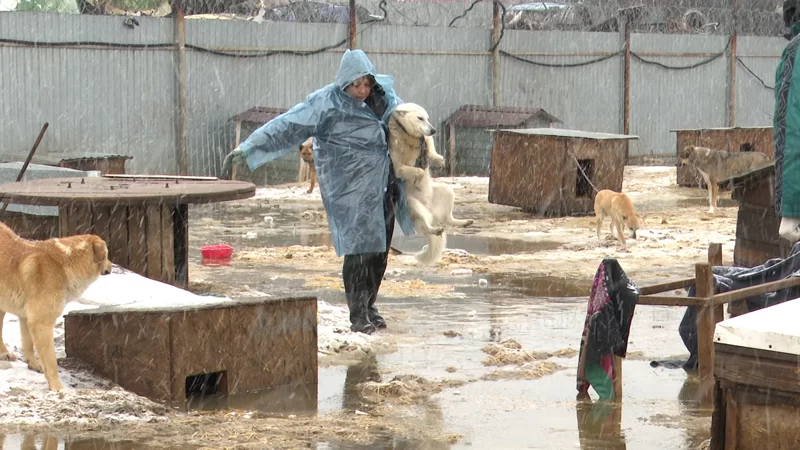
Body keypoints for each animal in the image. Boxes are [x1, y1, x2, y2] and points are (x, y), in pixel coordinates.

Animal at [0, 221, 112, 390]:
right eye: (106, 254)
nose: (111, 267)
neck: (65, 263)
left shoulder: (27, 317)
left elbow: (28, 344)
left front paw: (34, 364)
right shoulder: (41, 322)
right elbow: (51, 360)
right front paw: (57, 388)